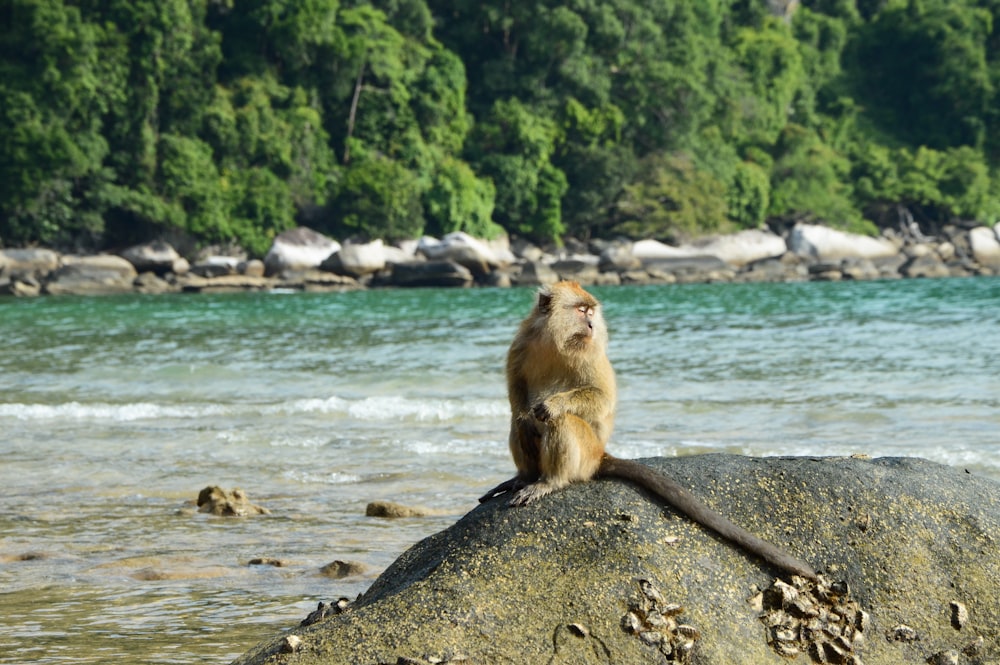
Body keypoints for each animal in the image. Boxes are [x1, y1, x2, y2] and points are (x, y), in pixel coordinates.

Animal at [482, 278, 820, 580]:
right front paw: (526, 414)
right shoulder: (521, 344)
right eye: (580, 311)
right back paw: (525, 476)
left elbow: (599, 399)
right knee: (519, 423)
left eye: (591, 312)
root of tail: (600, 455)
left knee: (562, 422)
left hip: (587, 451)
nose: (591, 326)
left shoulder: (590, 352)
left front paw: (553, 405)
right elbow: (518, 397)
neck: (555, 341)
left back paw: (550, 480)